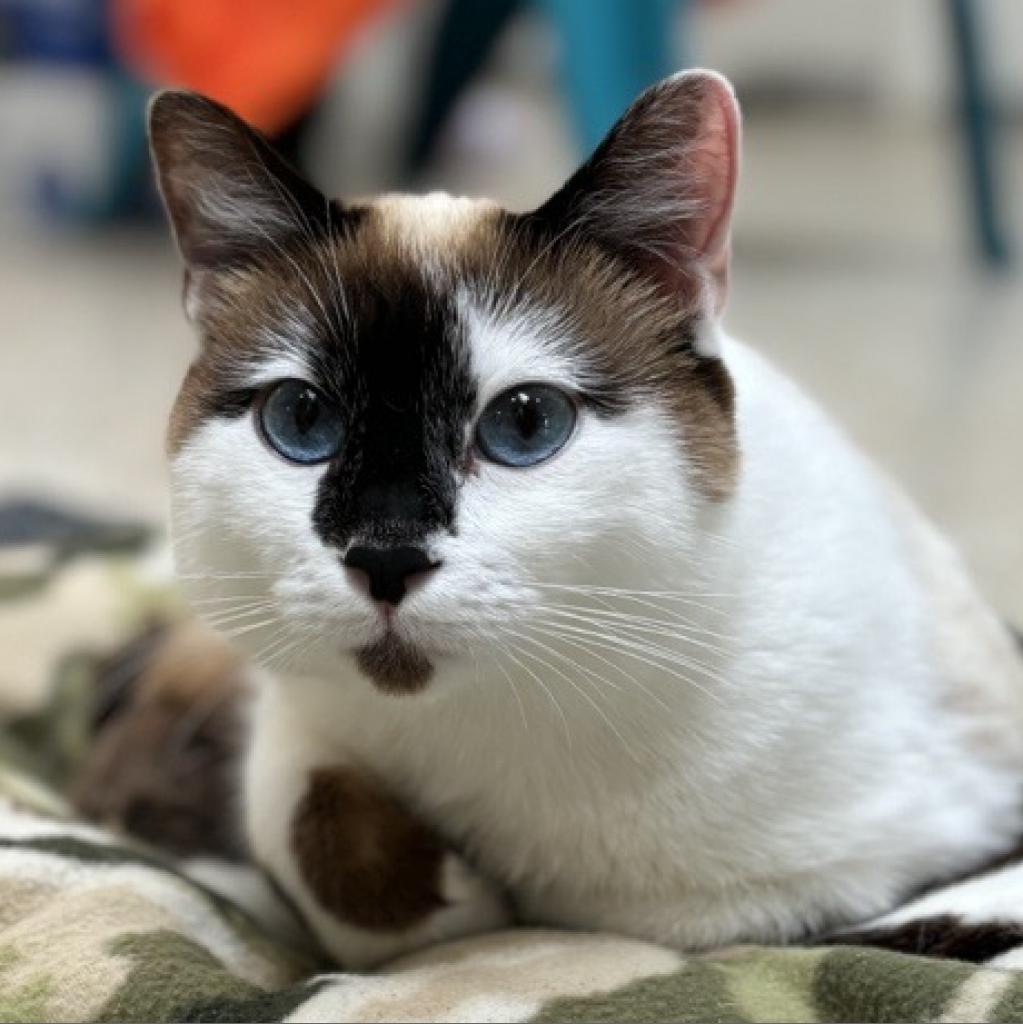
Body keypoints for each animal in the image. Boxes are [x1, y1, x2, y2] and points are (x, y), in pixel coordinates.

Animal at [148, 72, 1023, 966]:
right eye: (301, 421)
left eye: (525, 424)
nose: (386, 557)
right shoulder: (292, 711)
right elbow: (305, 819)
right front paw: (456, 895)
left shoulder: (773, 905)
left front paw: (471, 902)